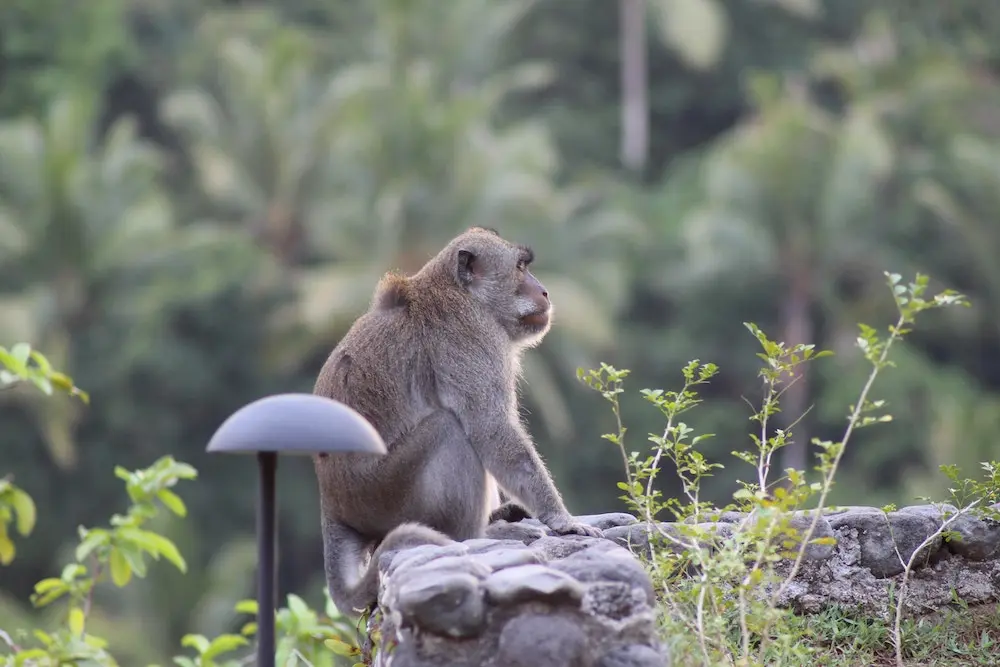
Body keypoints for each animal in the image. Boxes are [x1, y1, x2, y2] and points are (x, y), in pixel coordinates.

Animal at [312, 227, 600, 620]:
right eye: (520, 267)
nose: (543, 292)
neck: (456, 291)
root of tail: (333, 504)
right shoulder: (473, 339)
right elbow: (490, 429)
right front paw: (562, 519)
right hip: (385, 494)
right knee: (449, 430)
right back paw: (475, 535)